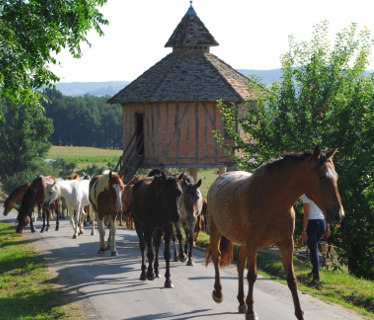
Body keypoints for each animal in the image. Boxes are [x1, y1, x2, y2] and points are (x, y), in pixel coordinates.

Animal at [206, 146, 346, 320]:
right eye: (322, 178)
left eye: (336, 177)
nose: (338, 215)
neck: (271, 201)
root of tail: (219, 178)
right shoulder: (253, 245)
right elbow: (252, 275)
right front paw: (252, 312)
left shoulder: (286, 244)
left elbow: (291, 279)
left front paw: (300, 313)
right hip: (216, 231)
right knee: (217, 256)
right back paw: (218, 293)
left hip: (244, 243)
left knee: (239, 265)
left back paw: (241, 302)